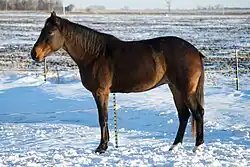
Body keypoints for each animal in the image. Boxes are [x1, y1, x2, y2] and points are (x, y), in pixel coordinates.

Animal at [30, 11, 205, 153]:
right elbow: (105, 118)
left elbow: (103, 118)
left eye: (50, 32)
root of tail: (195, 52)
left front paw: (101, 147)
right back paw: (174, 146)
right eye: (42, 30)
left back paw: (198, 147)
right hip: (175, 88)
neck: (95, 54)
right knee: (184, 115)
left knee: (197, 113)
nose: (34, 54)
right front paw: (105, 144)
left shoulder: (101, 92)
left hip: (186, 90)